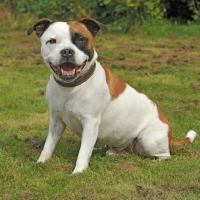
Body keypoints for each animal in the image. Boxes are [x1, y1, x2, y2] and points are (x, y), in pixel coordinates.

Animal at [27, 17, 197, 173]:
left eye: (81, 39)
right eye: (52, 41)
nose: (67, 51)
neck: (70, 87)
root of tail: (169, 136)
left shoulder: (90, 123)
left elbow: (83, 152)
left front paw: (79, 172)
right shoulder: (56, 121)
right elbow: (49, 145)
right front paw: (41, 162)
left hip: (148, 139)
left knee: (165, 155)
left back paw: (155, 161)